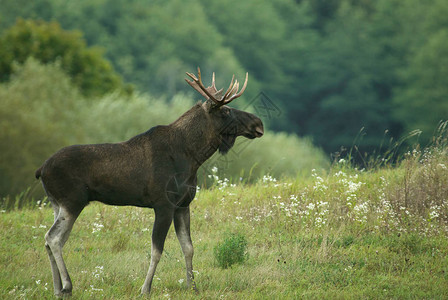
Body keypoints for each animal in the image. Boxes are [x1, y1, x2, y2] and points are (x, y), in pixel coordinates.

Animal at [36, 68, 264, 298]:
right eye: (225, 111)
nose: (258, 123)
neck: (192, 157)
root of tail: (41, 170)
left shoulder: (183, 205)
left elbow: (188, 247)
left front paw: (192, 286)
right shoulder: (163, 204)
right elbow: (157, 250)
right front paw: (145, 288)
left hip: (57, 204)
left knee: (52, 241)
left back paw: (57, 289)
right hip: (73, 201)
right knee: (53, 238)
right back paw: (67, 285)